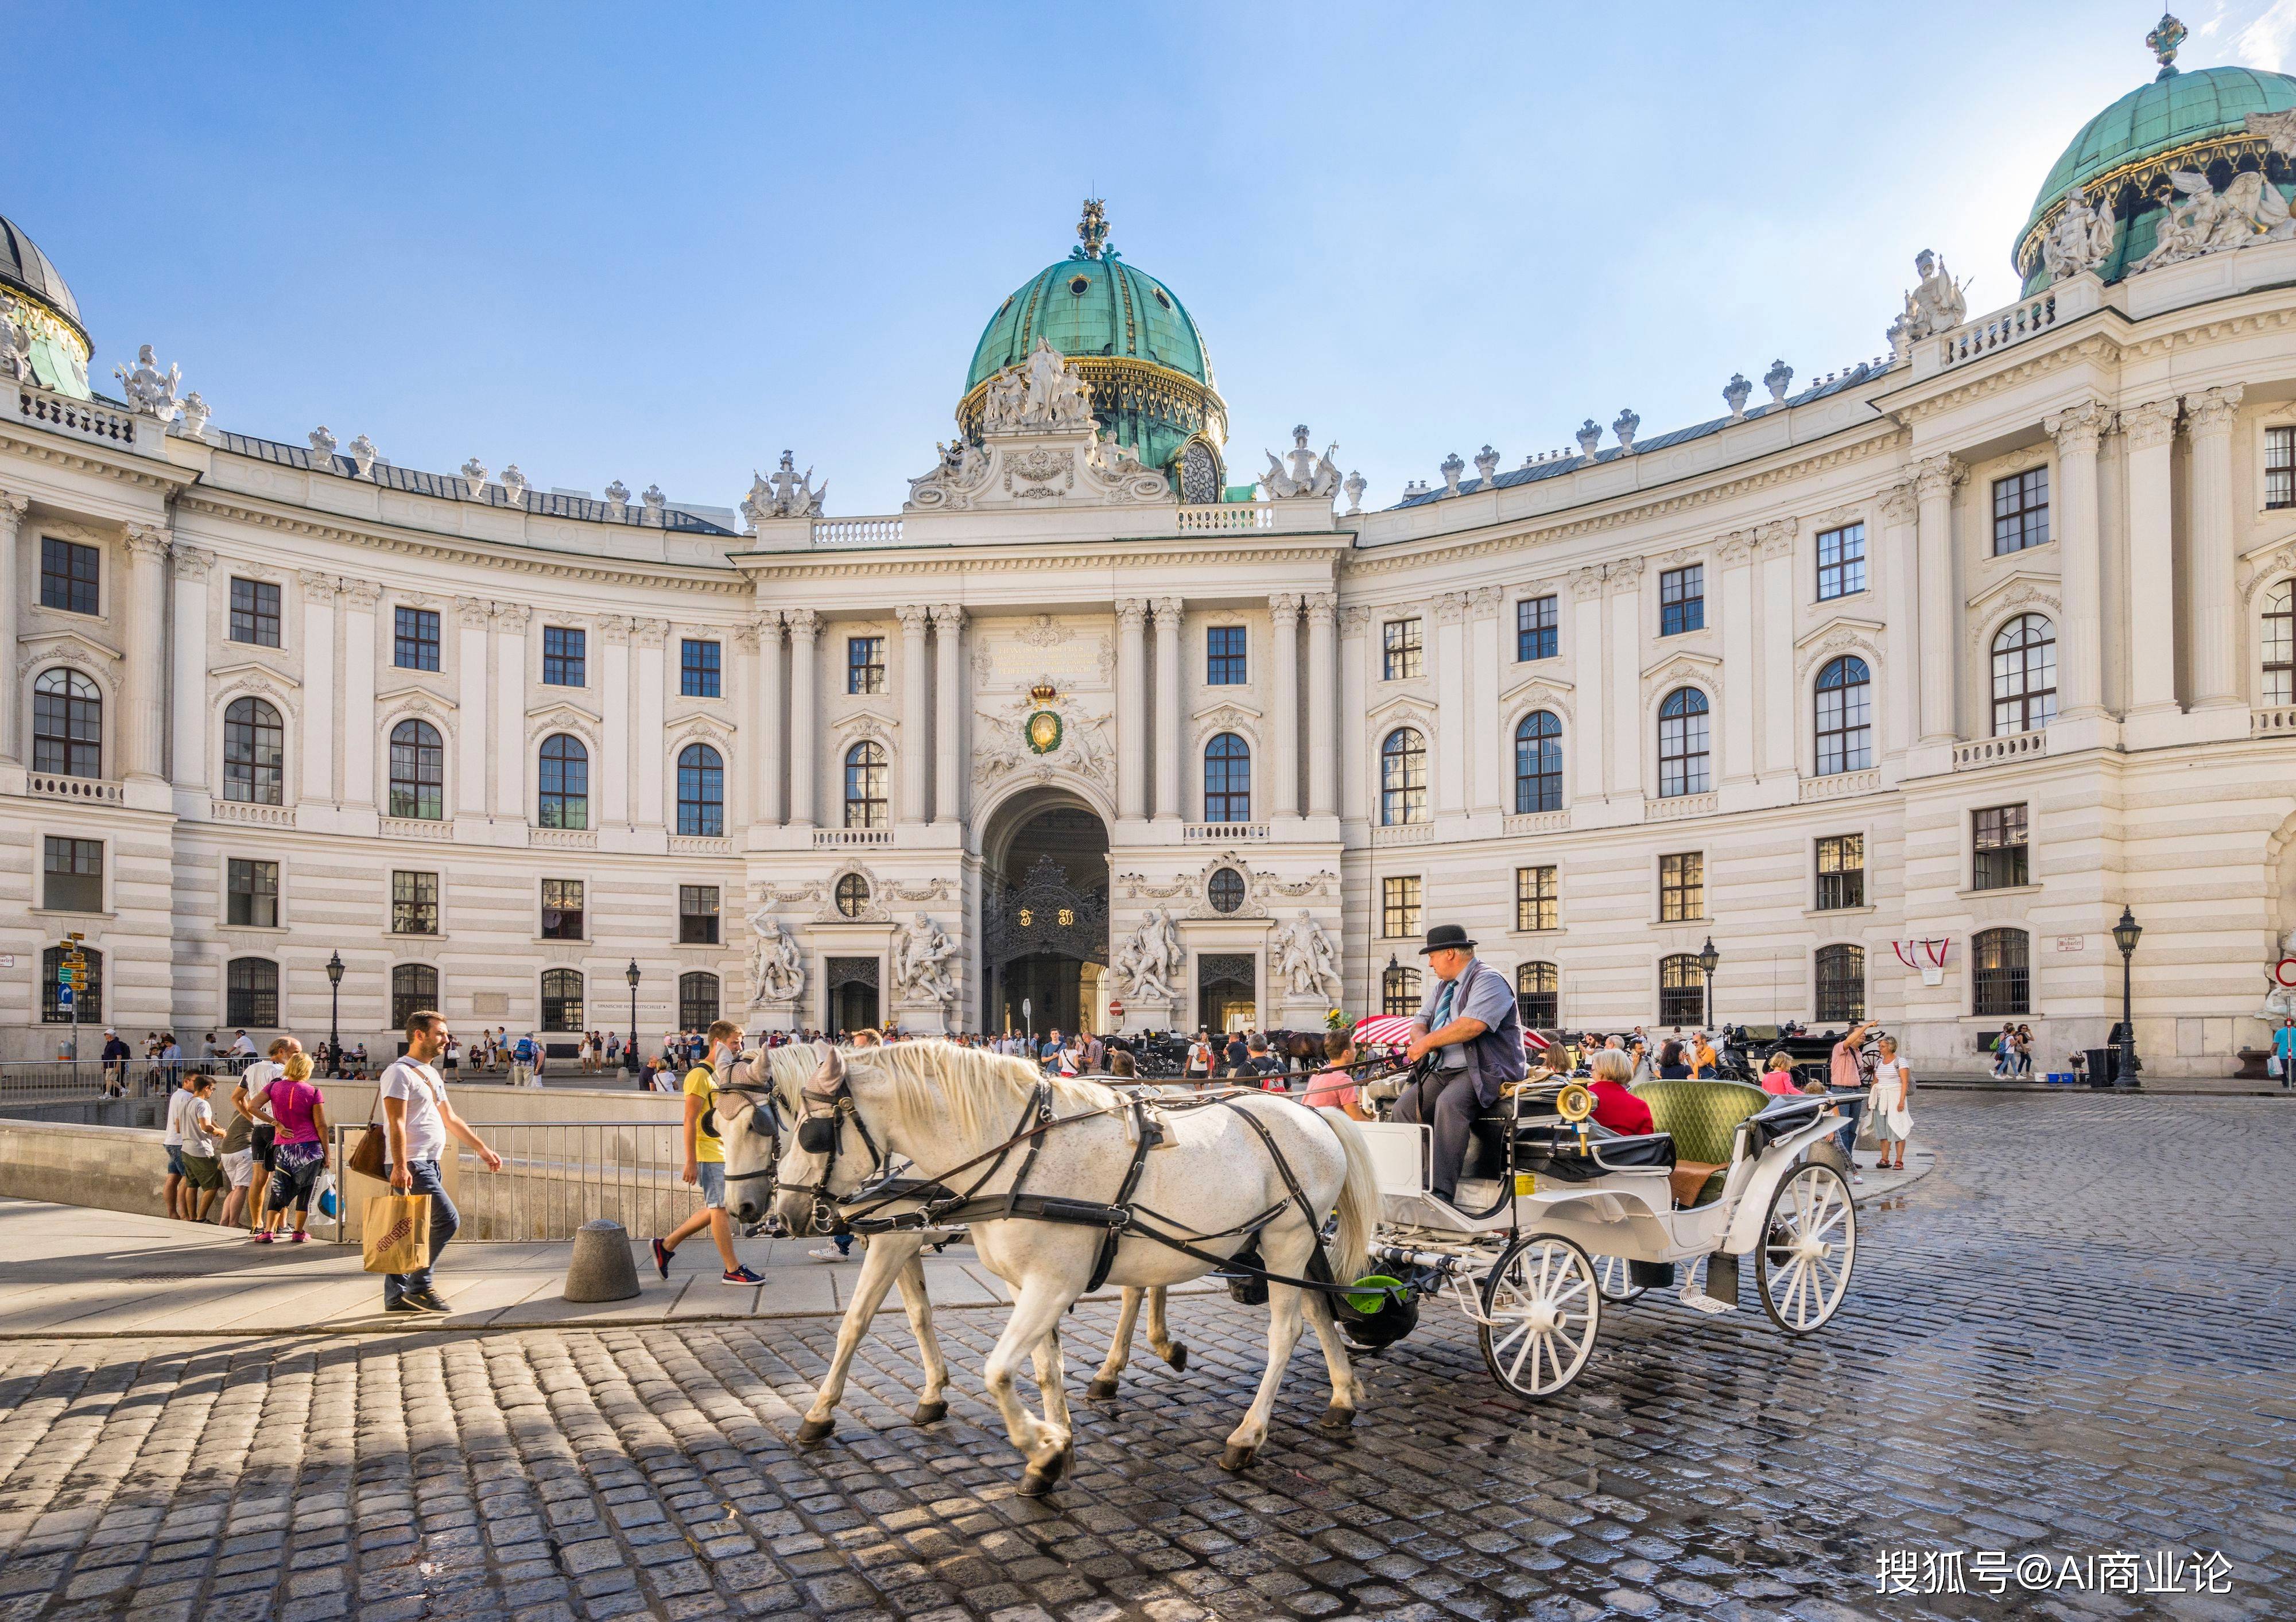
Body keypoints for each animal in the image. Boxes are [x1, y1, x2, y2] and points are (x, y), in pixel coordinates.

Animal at [712, 1047, 1185, 1442]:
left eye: (758, 1126)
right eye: (715, 1126)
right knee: (1148, 1281)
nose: (742, 1208)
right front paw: (934, 1394)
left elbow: (856, 1321)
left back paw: (1122, 1365)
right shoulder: (899, 1235)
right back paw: (1147, 1353)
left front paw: (820, 1412)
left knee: (1138, 1287)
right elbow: (919, 1315)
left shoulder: (894, 1243)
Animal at [767, 1038, 1378, 1488]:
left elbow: (996, 1370)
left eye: (809, 1131)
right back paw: (1343, 1397)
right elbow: (1043, 1367)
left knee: (1285, 1332)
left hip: (1287, 1236)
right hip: (1285, 1244)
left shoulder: (1051, 1283)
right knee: (1318, 1311)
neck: (1016, 1154)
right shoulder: (1023, 1285)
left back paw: (1246, 1437)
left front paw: (1039, 1444)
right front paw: (1055, 1450)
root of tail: (1310, 1112)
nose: (783, 1213)